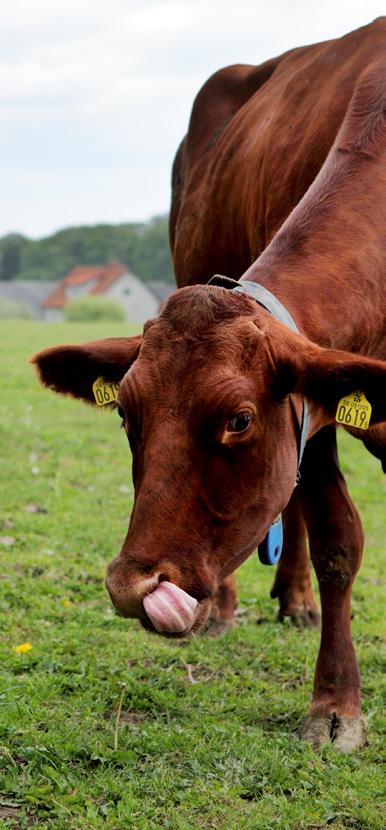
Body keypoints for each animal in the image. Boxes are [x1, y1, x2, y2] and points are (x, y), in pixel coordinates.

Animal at [34, 22, 386, 756]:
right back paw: (227, 606)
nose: (133, 583)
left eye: (238, 420)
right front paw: (336, 704)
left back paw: (297, 602)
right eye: (125, 414)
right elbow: (337, 538)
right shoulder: (312, 413)